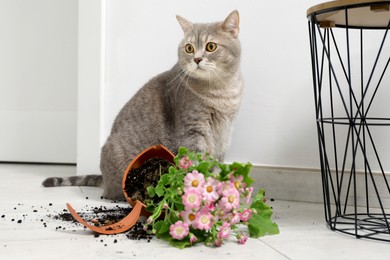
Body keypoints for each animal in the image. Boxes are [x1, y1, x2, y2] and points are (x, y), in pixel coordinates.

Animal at [43, 10, 244, 200]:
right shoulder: (192, 133)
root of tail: (105, 180)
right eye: (189, 48)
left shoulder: (224, 135)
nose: (196, 59)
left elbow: (216, 167)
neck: (221, 91)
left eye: (211, 46)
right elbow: (197, 165)